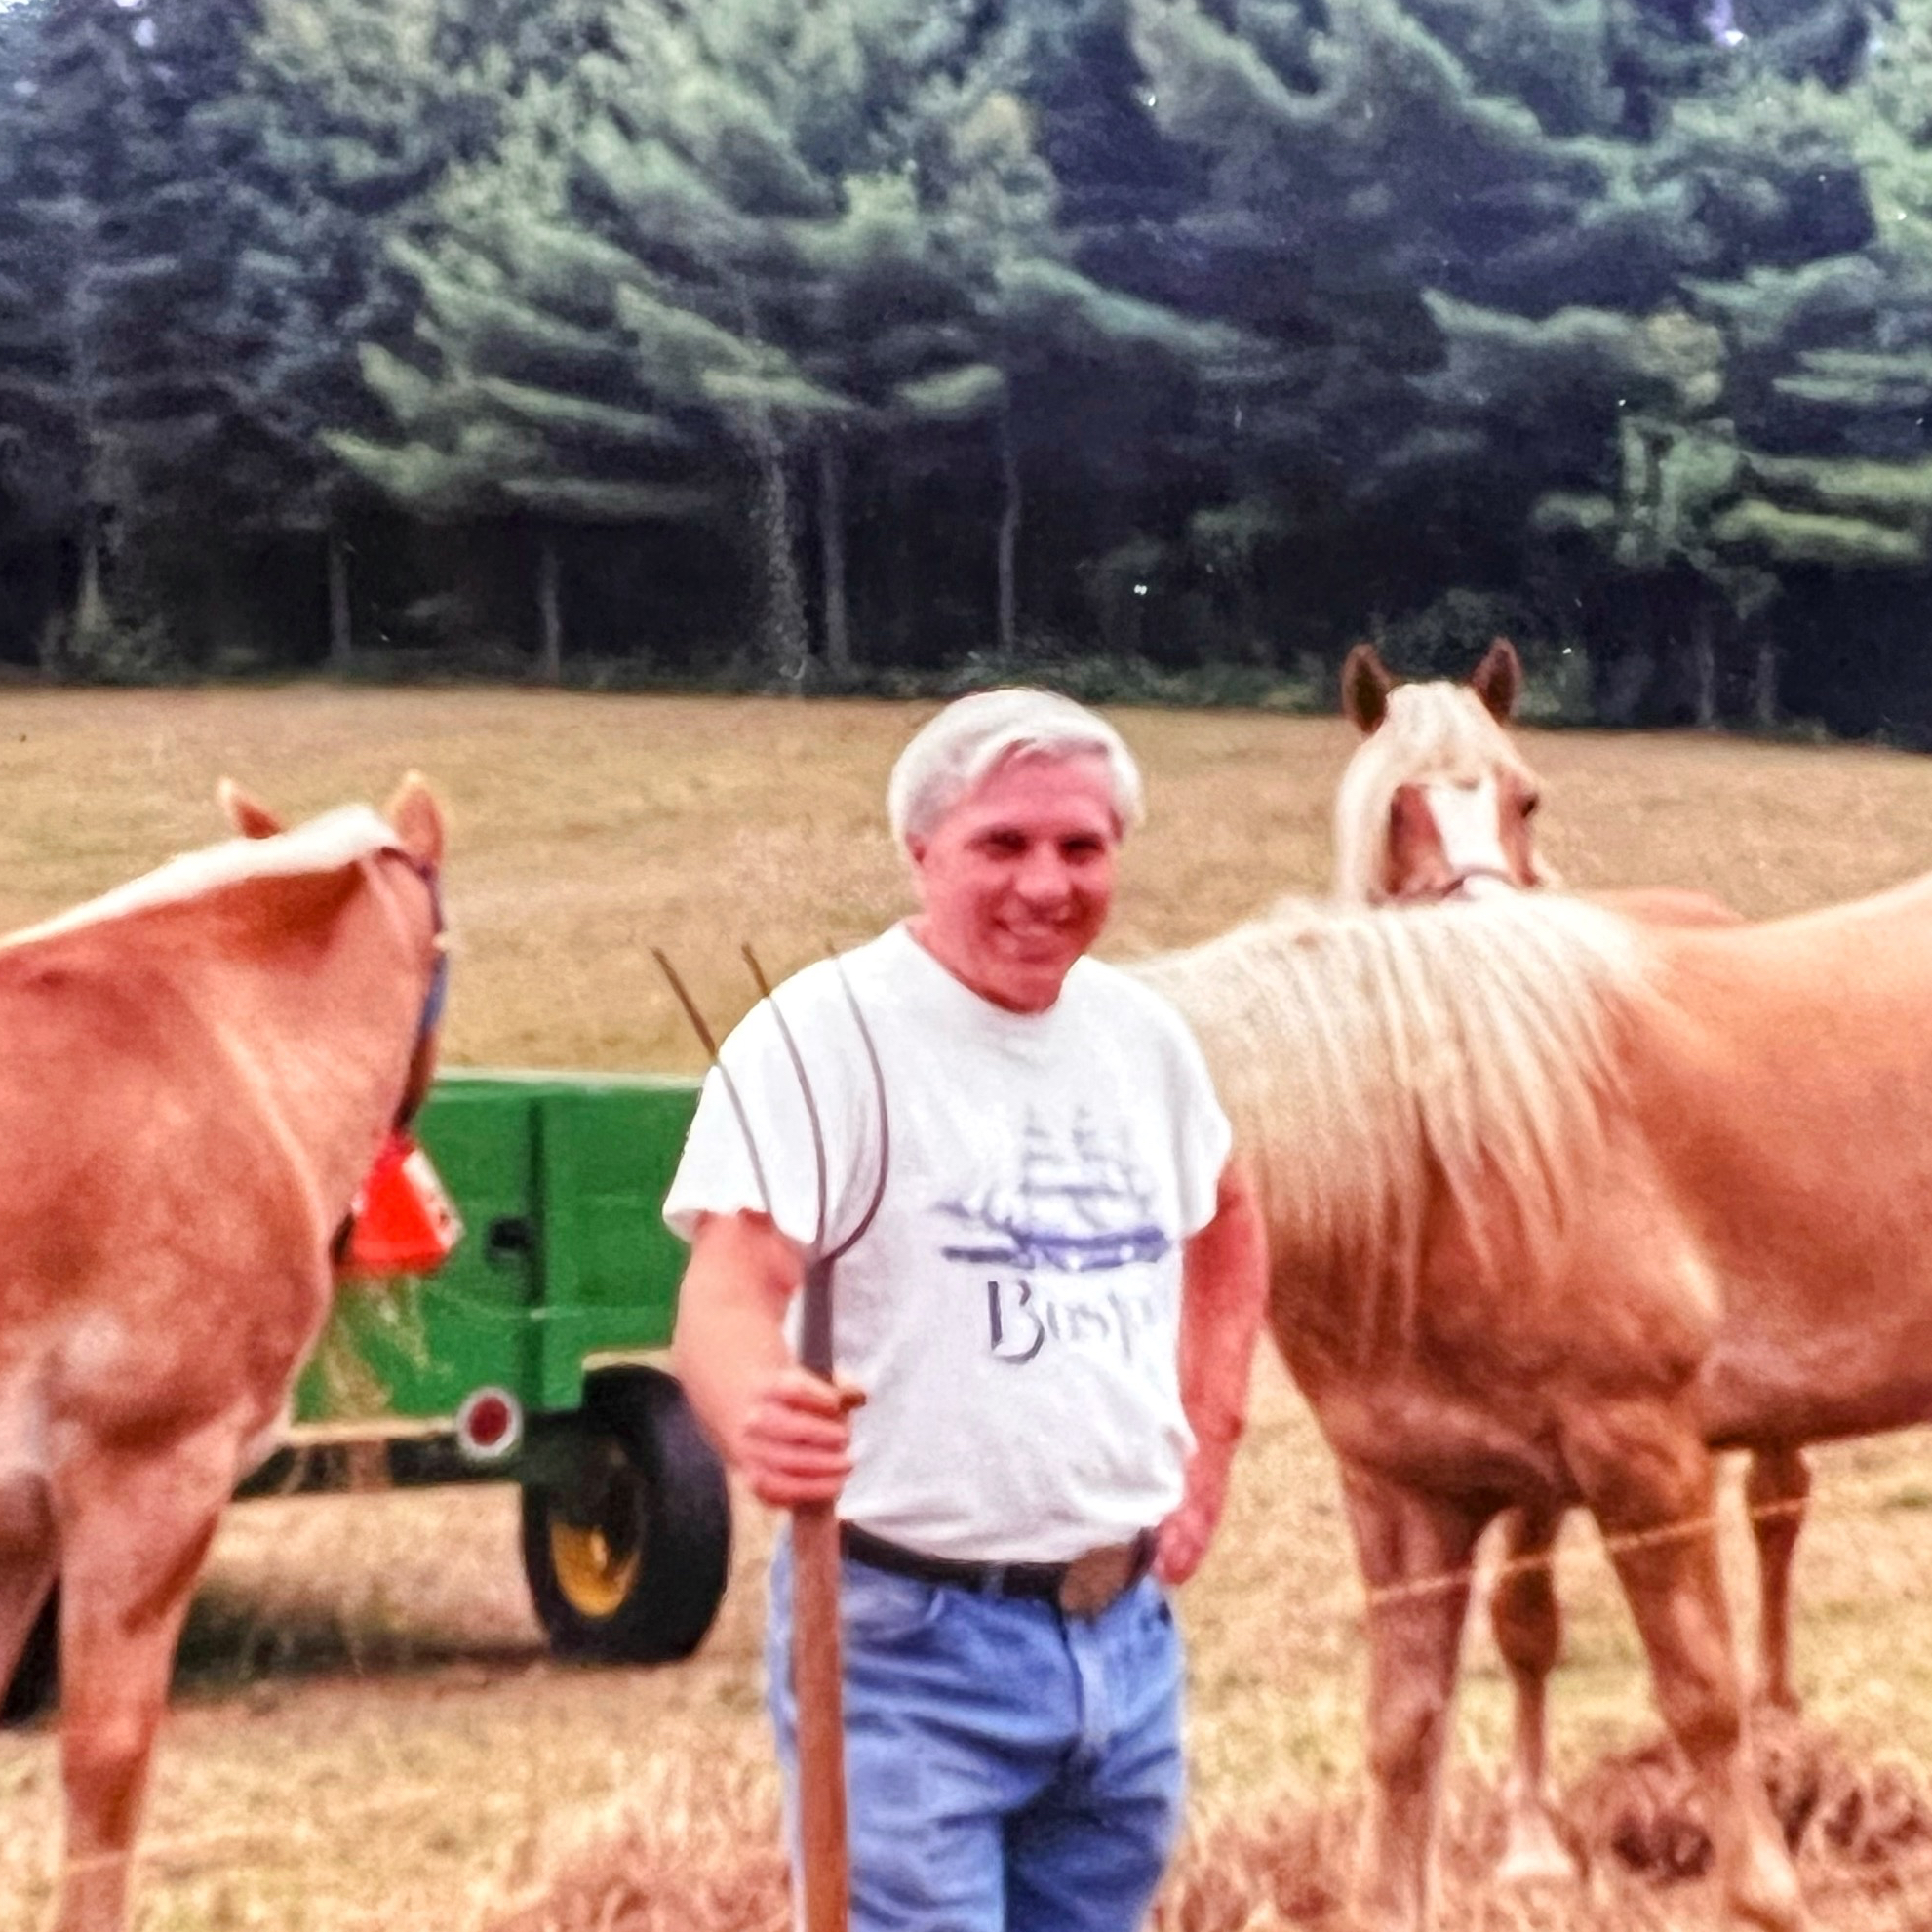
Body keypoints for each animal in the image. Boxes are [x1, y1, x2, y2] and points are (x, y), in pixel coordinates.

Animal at [1127, 881, 1932, 1932]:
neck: (1434, 1174)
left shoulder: (1647, 1467)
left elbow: (1702, 1697)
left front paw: (1767, 1900)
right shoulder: (1408, 1497)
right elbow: (1404, 1730)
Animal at [1328, 641, 1793, 1877]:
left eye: (1523, 795)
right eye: (1395, 805)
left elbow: (1526, 1621)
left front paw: (1532, 1837)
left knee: (1778, 1506)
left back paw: (1778, 1702)